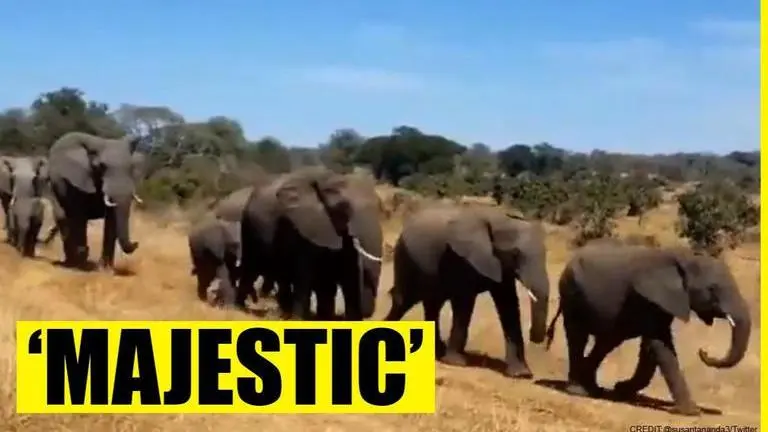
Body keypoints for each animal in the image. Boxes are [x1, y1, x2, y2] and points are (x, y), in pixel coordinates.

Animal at [46, 131, 145, 270]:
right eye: (101, 166)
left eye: (131, 168)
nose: (136, 243)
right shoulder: (77, 180)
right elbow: (78, 214)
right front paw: (82, 261)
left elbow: (111, 219)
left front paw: (105, 269)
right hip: (54, 187)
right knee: (63, 217)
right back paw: (72, 262)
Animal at [237, 166, 383, 320]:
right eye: (343, 208)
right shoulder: (306, 228)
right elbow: (305, 274)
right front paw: (299, 319)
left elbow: (346, 274)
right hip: (249, 227)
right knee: (252, 267)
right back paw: (241, 308)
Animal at [383, 204, 551, 378]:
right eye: (515, 254)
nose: (536, 338)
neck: (499, 218)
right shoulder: (462, 258)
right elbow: (464, 301)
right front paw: (456, 363)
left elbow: (508, 304)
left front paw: (521, 374)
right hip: (405, 257)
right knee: (404, 300)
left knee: (431, 304)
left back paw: (438, 351)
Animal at [544, 243, 751, 416]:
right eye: (712, 289)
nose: (703, 351)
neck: (683, 258)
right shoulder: (648, 299)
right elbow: (660, 345)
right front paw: (691, 412)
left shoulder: (661, 302)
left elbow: (650, 348)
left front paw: (621, 390)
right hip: (571, 294)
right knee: (578, 337)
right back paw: (579, 391)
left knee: (607, 341)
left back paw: (593, 389)